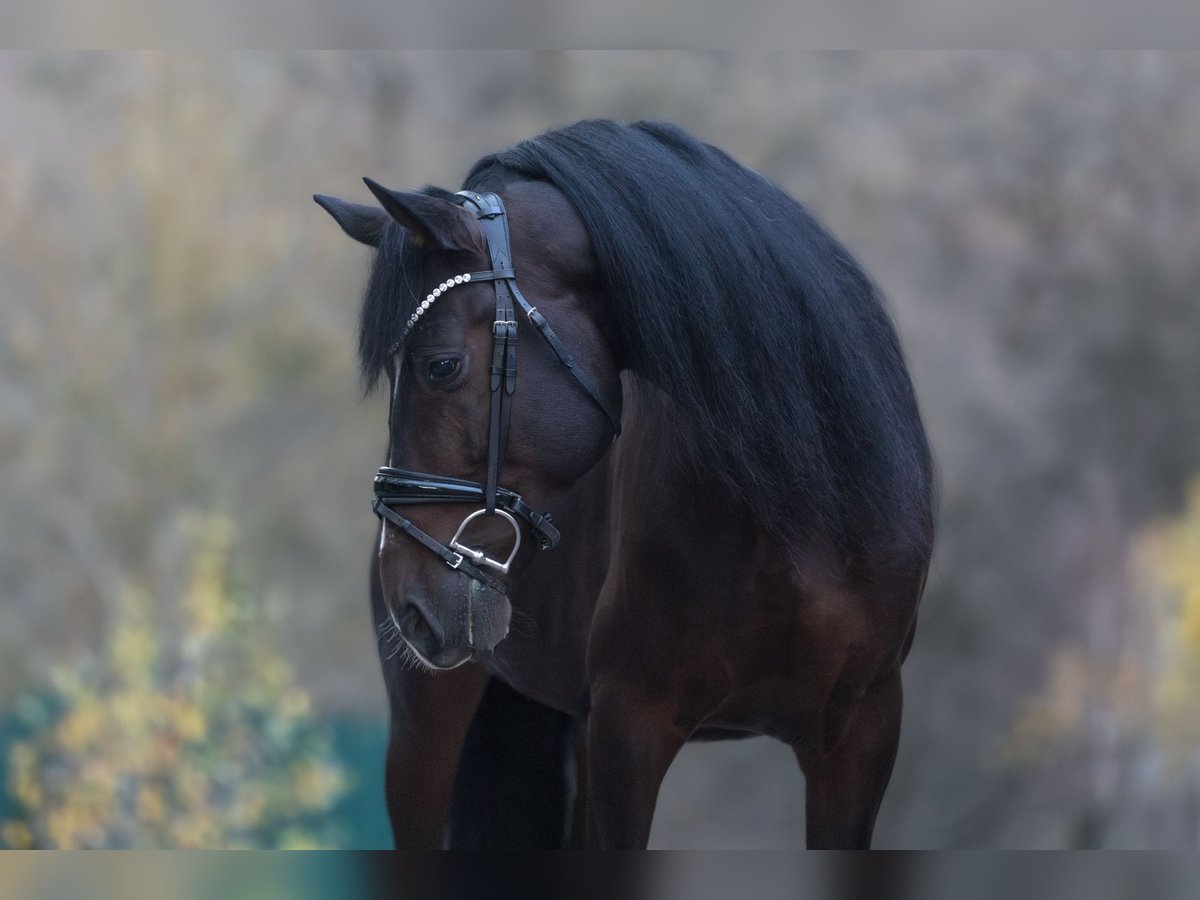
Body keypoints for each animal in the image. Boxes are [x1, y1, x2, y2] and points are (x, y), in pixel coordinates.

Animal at [315, 119, 934, 849]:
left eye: (440, 366)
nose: (408, 601)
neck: (800, 511)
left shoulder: (861, 733)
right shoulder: (629, 727)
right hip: (427, 724)